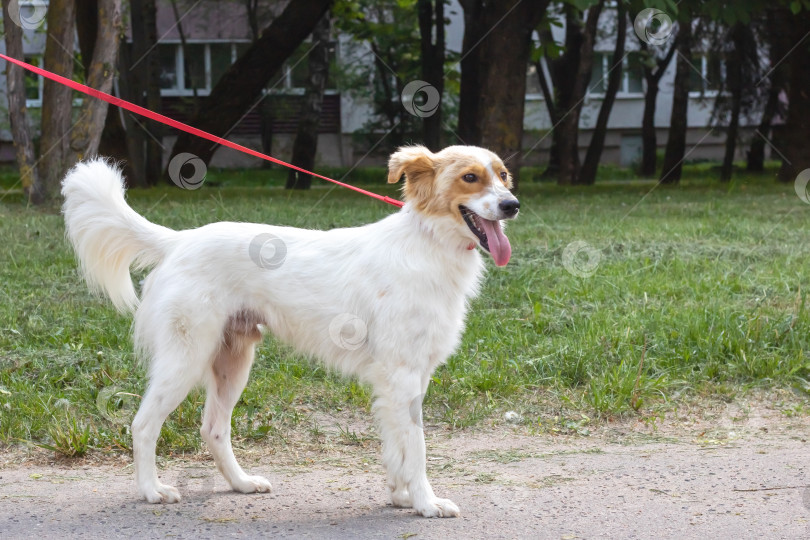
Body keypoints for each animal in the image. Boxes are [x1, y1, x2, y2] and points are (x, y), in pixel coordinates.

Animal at [61, 146, 516, 516]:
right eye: (470, 177)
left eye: (504, 174)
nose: (512, 205)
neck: (427, 244)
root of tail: (180, 241)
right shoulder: (402, 376)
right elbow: (417, 449)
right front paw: (425, 503)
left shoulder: (406, 380)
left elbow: (397, 447)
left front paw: (402, 496)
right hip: (185, 359)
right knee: (143, 424)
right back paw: (151, 491)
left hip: (233, 362)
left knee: (213, 429)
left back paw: (241, 484)